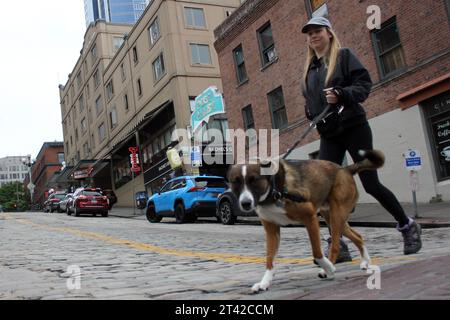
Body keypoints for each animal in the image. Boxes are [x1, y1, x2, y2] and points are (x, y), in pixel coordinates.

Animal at [230, 150, 384, 292]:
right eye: (236, 182)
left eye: (254, 180)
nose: (245, 203)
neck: (275, 189)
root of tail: (345, 169)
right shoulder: (271, 230)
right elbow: (269, 259)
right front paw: (264, 282)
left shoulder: (310, 218)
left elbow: (317, 252)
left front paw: (329, 268)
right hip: (333, 218)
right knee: (357, 236)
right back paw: (366, 261)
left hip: (337, 215)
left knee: (335, 245)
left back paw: (329, 268)